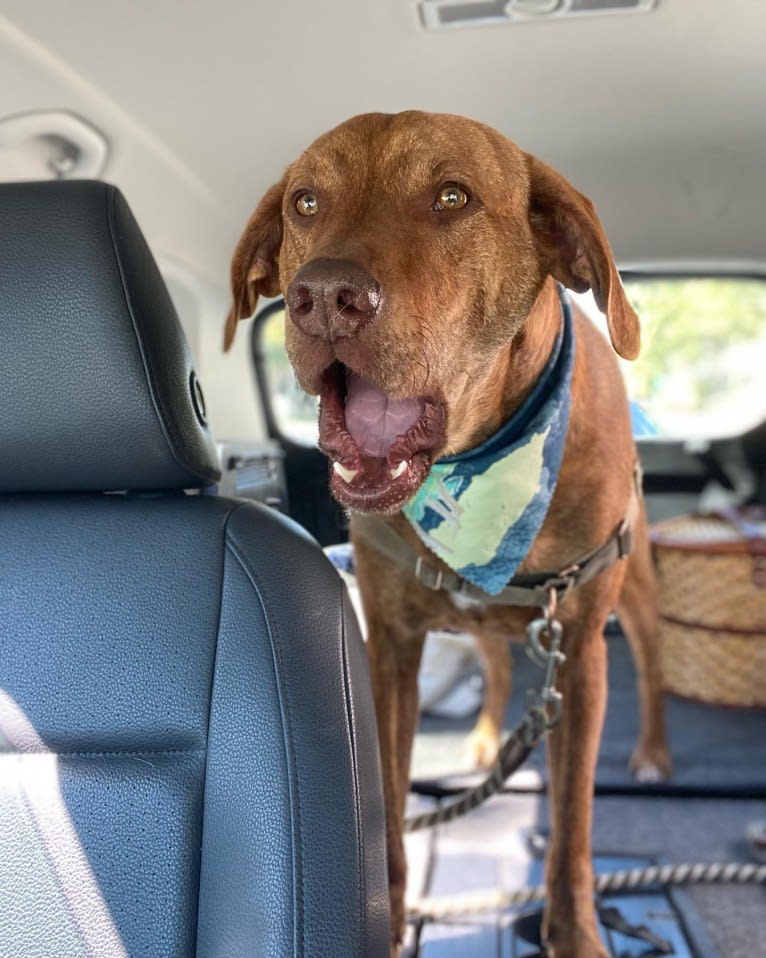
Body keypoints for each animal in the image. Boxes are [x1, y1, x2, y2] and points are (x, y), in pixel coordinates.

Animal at [224, 114, 672, 958]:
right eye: (305, 202)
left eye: (453, 196)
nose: (324, 299)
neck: (481, 462)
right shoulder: (391, 647)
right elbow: (388, 806)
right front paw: (391, 915)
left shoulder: (581, 653)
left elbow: (573, 824)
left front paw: (576, 933)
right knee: (494, 669)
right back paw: (485, 741)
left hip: (635, 593)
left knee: (654, 665)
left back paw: (655, 754)